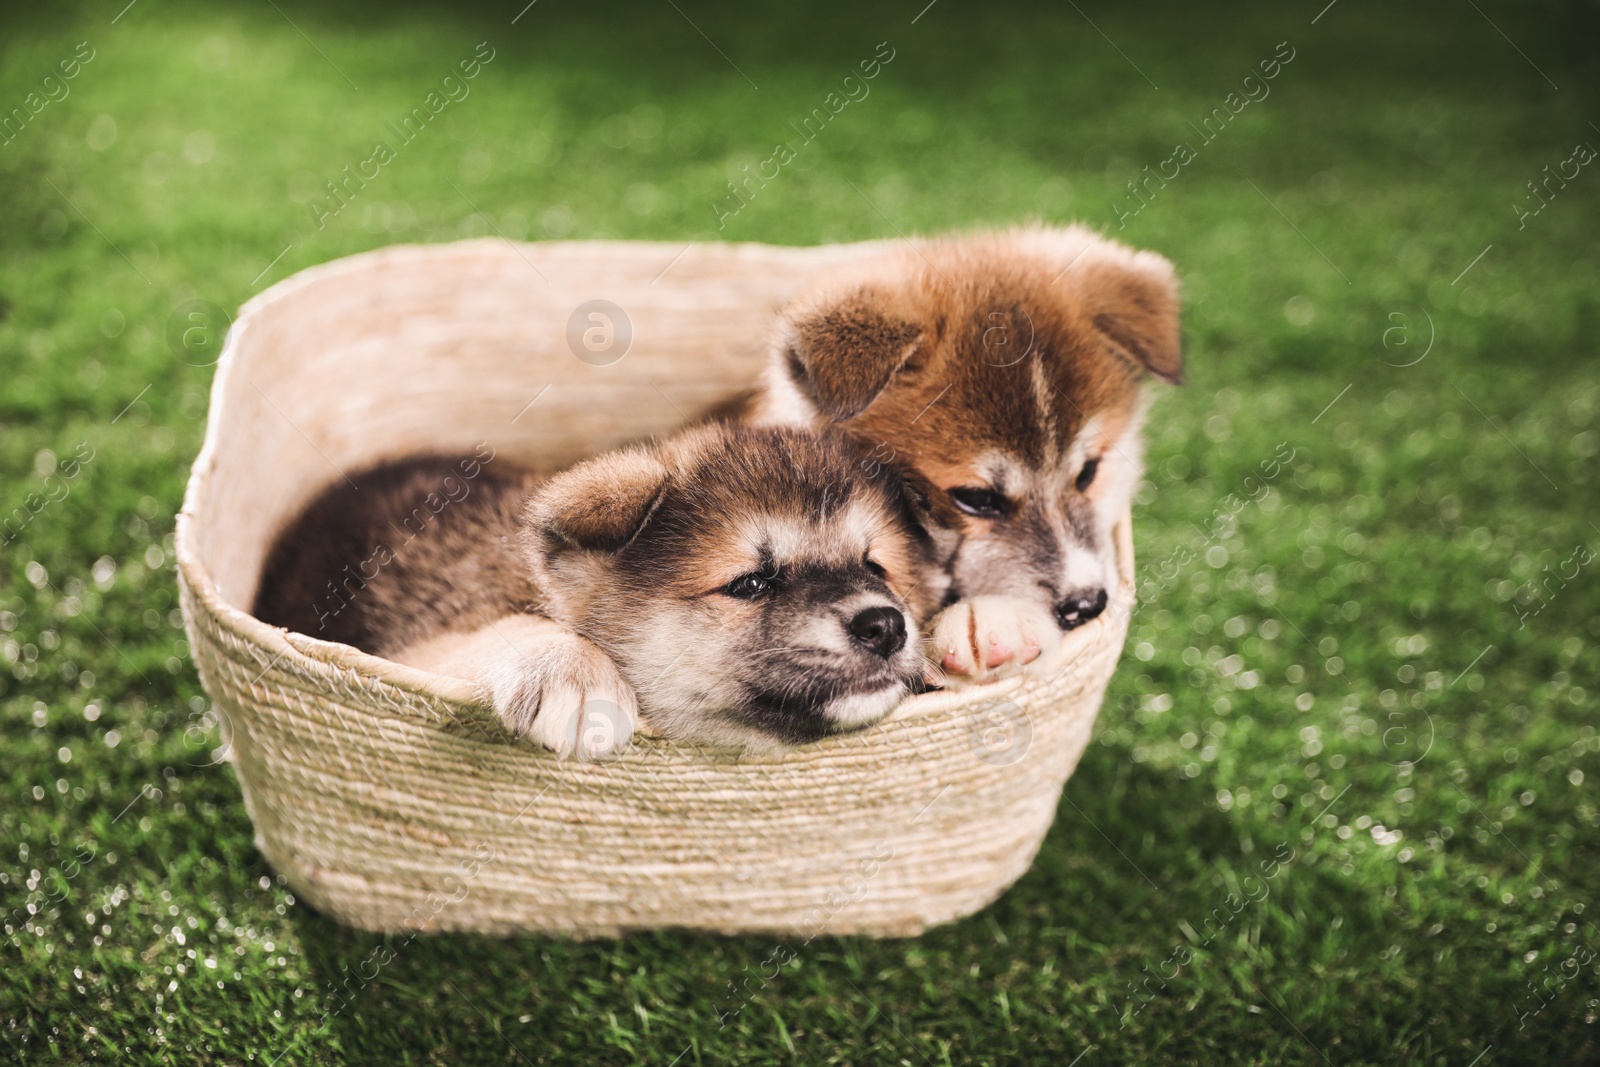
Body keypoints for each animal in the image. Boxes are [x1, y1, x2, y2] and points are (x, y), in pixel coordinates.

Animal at [249, 422, 934, 755]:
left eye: (875, 567)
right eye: (752, 583)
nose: (885, 625)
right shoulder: (425, 643)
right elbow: (504, 630)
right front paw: (573, 673)